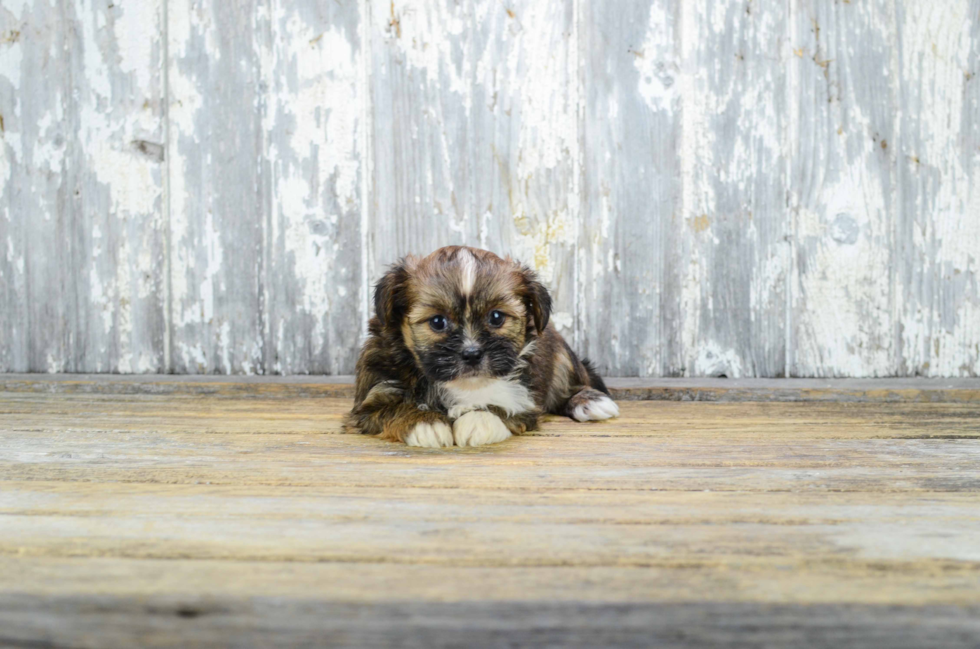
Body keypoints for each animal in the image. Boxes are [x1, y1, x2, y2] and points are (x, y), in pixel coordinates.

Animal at [344, 247, 620, 446]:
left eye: (496, 317)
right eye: (437, 322)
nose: (472, 353)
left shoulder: (524, 396)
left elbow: (505, 407)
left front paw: (479, 420)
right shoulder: (371, 400)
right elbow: (393, 409)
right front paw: (425, 423)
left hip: (561, 354)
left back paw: (588, 400)